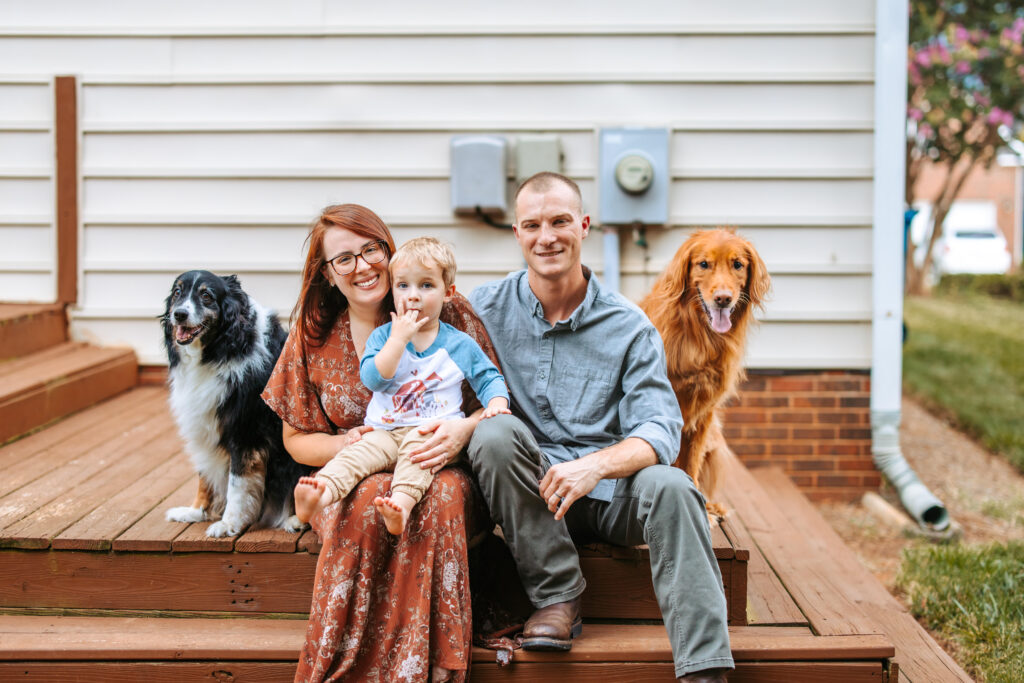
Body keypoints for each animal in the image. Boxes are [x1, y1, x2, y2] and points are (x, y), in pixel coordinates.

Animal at [160, 270, 307, 536]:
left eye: (206, 296)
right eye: (177, 292)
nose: (179, 314)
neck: (222, 350)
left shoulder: (245, 433)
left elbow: (237, 484)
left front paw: (229, 523)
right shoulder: (204, 425)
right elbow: (204, 476)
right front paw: (196, 511)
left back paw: (296, 519)